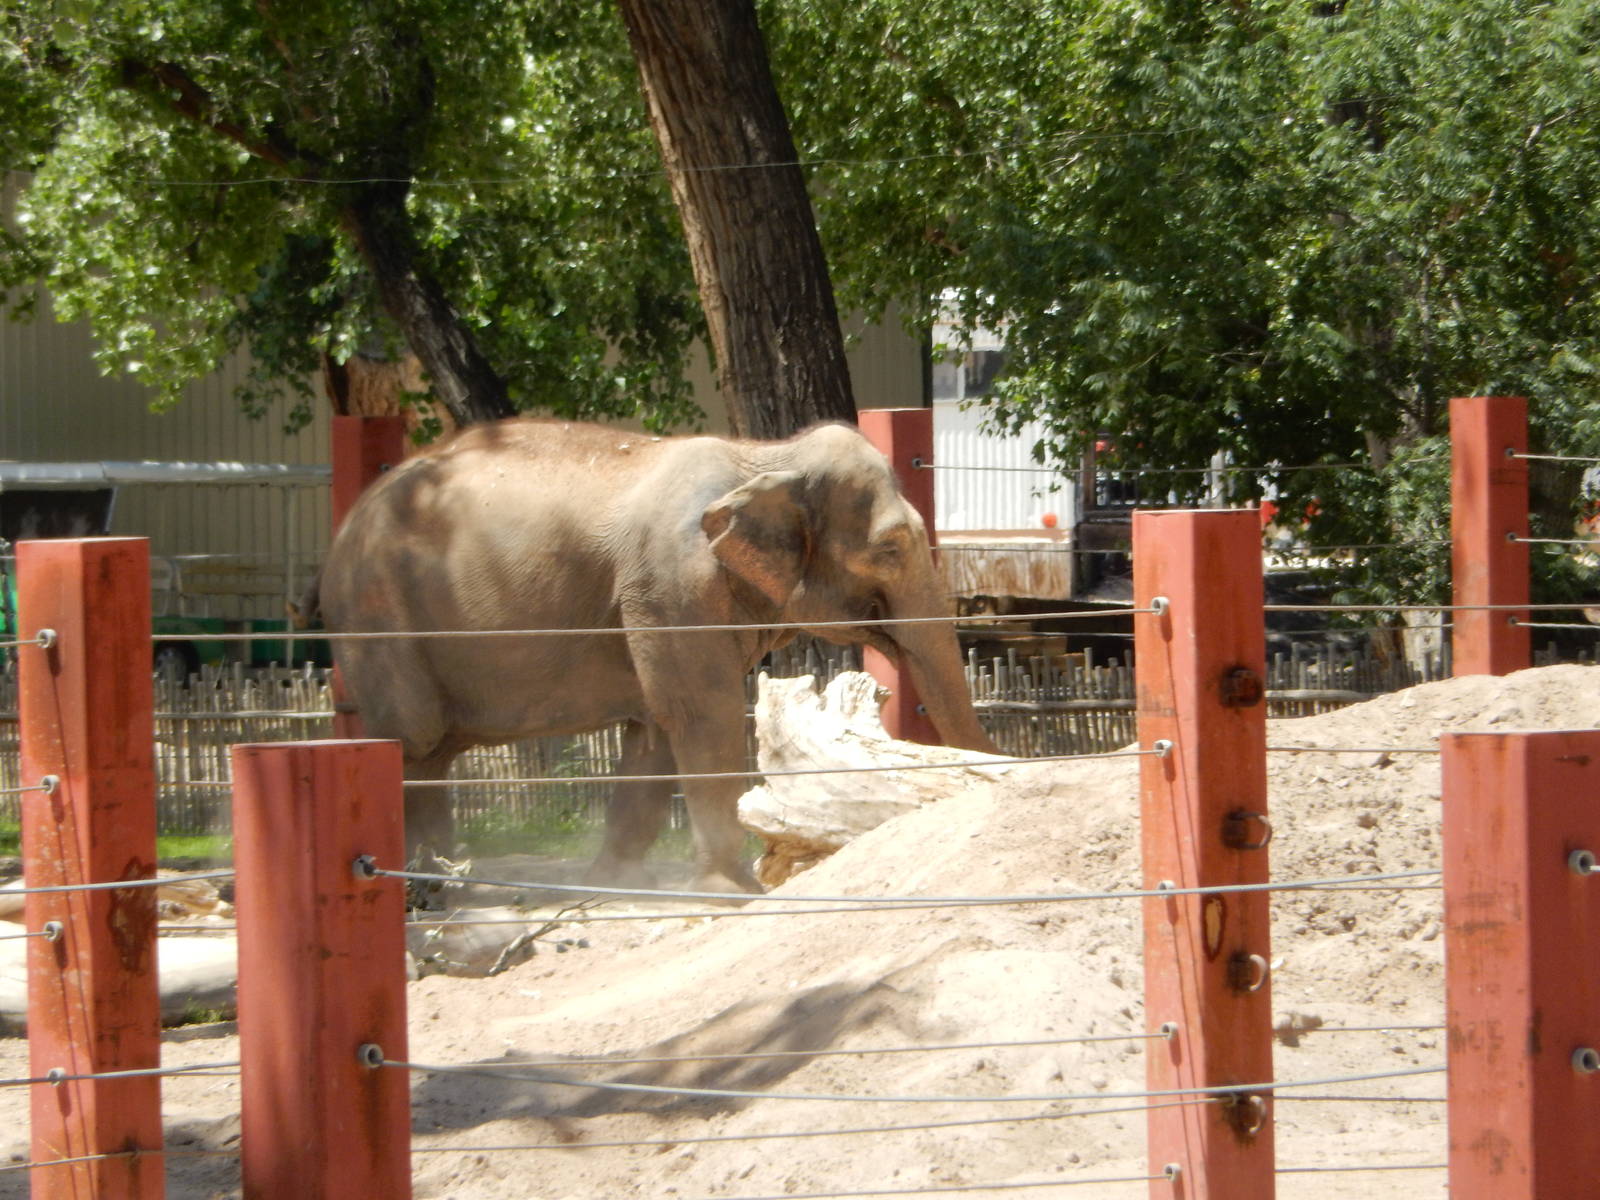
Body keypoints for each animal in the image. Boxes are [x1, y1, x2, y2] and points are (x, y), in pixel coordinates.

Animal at [312, 418, 998, 894]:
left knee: (431, 748)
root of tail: (343, 525)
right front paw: (732, 891)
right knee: (414, 737)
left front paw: (620, 885)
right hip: (378, 617)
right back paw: (435, 888)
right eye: (889, 549)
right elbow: (703, 713)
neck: (763, 456)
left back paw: (446, 877)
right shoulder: (673, 579)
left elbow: (656, 728)